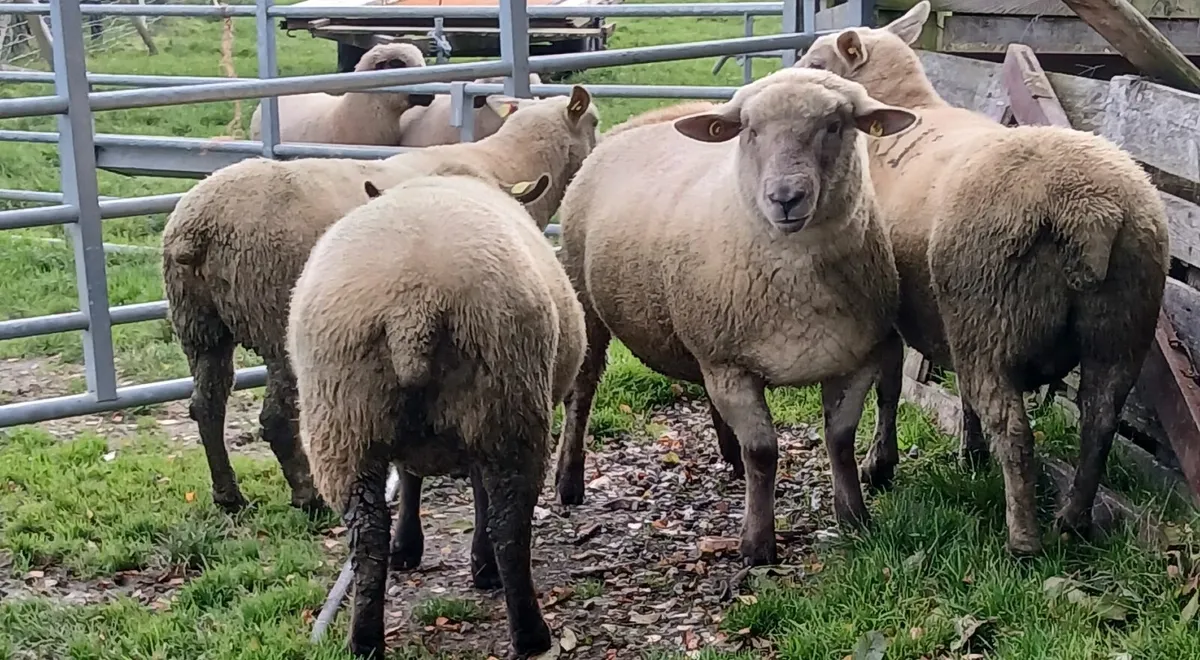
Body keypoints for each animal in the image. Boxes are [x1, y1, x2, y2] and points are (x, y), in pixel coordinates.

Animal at [161, 87, 598, 519]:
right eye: (593, 120)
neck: (503, 162)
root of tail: (199, 229)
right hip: (274, 318)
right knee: (276, 418)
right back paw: (307, 497)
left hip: (198, 322)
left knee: (207, 405)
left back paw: (228, 496)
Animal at [287, 172, 583, 659]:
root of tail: (413, 310)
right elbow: (471, 493)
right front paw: (473, 562)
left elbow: (409, 477)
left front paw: (408, 547)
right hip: (509, 407)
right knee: (509, 525)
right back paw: (529, 630)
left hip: (342, 422)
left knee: (367, 537)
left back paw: (364, 640)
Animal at [553, 68, 918, 566]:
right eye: (751, 130)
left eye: (834, 126)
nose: (785, 198)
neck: (799, 283)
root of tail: (645, 118)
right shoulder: (730, 366)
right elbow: (762, 452)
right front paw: (757, 545)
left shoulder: (853, 360)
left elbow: (840, 440)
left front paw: (855, 518)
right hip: (584, 297)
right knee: (582, 390)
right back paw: (568, 480)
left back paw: (729, 455)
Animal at [797, 0, 1171, 555]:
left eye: (819, 66)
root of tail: (1090, 211)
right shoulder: (944, 319)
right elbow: (956, 391)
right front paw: (969, 455)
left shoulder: (891, 310)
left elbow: (891, 388)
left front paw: (880, 465)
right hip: (1121, 322)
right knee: (1099, 421)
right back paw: (1072, 520)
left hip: (991, 315)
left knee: (1014, 429)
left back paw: (1024, 540)